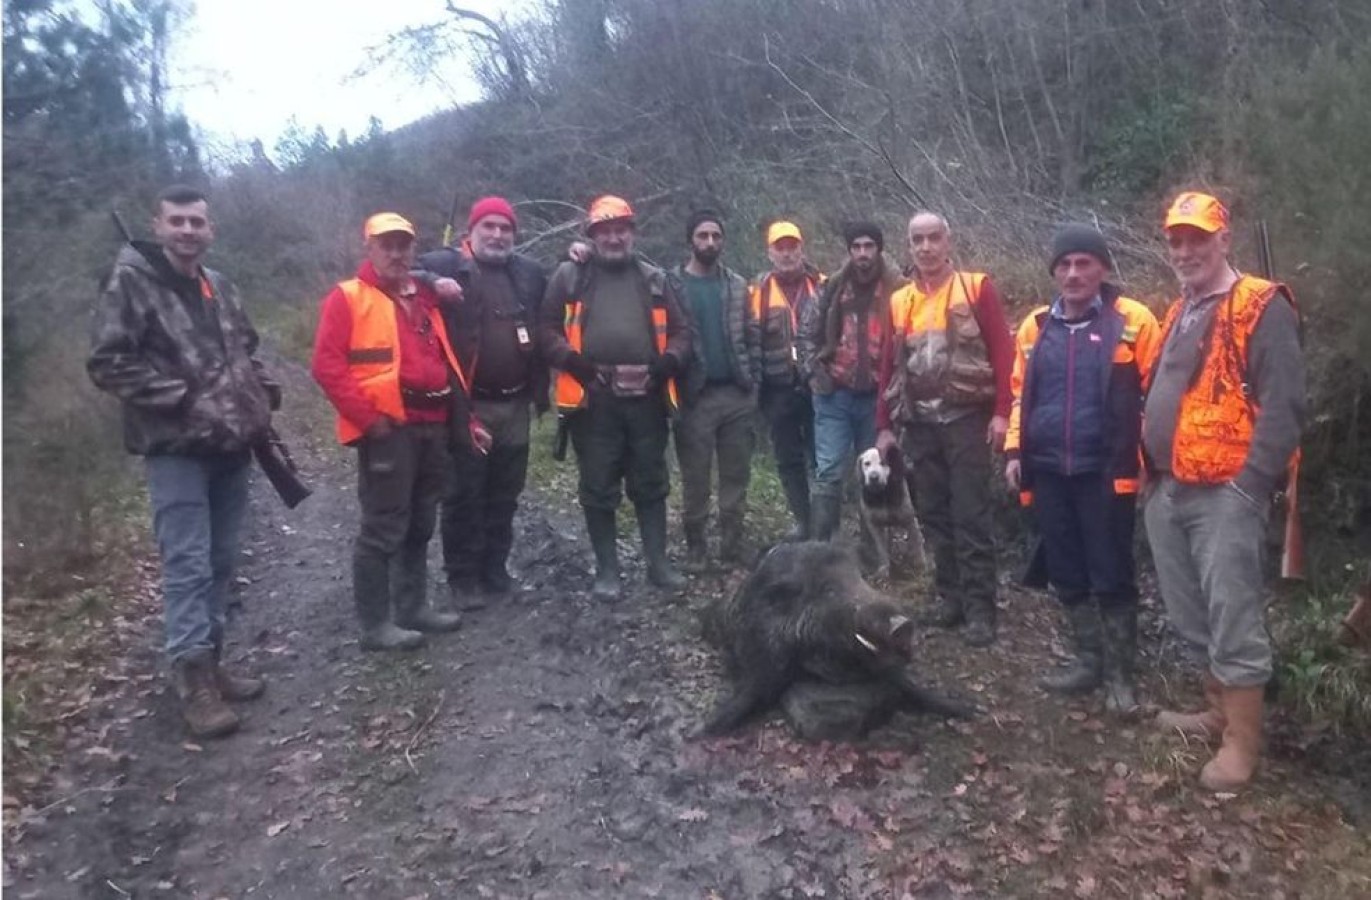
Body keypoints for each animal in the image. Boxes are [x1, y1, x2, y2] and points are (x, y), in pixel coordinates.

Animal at [855, 444, 932, 584]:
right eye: (866, 463)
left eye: (883, 462)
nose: (874, 477)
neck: (882, 494)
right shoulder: (875, 526)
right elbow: (881, 549)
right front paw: (883, 571)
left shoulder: (909, 520)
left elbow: (917, 545)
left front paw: (920, 566)